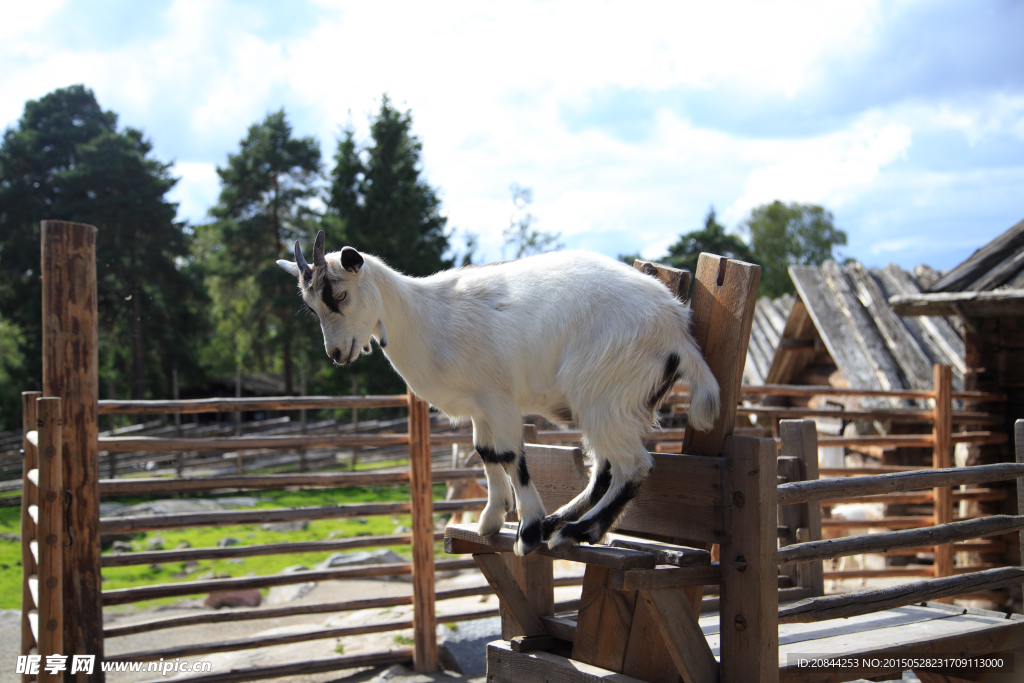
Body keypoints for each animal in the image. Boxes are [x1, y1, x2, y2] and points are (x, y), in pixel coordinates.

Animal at [278, 232, 720, 557]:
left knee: (633, 466)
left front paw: (527, 530)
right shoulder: (479, 406)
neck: (428, 317)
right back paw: (562, 521)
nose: (337, 354)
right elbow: (487, 453)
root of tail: (678, 330)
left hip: (603, 394)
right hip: (607, 403)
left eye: (338, 295)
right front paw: (493, 519)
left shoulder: (499, 398)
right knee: (606, 469)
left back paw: (577, 531)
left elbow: (511, 455)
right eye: (312, 307)